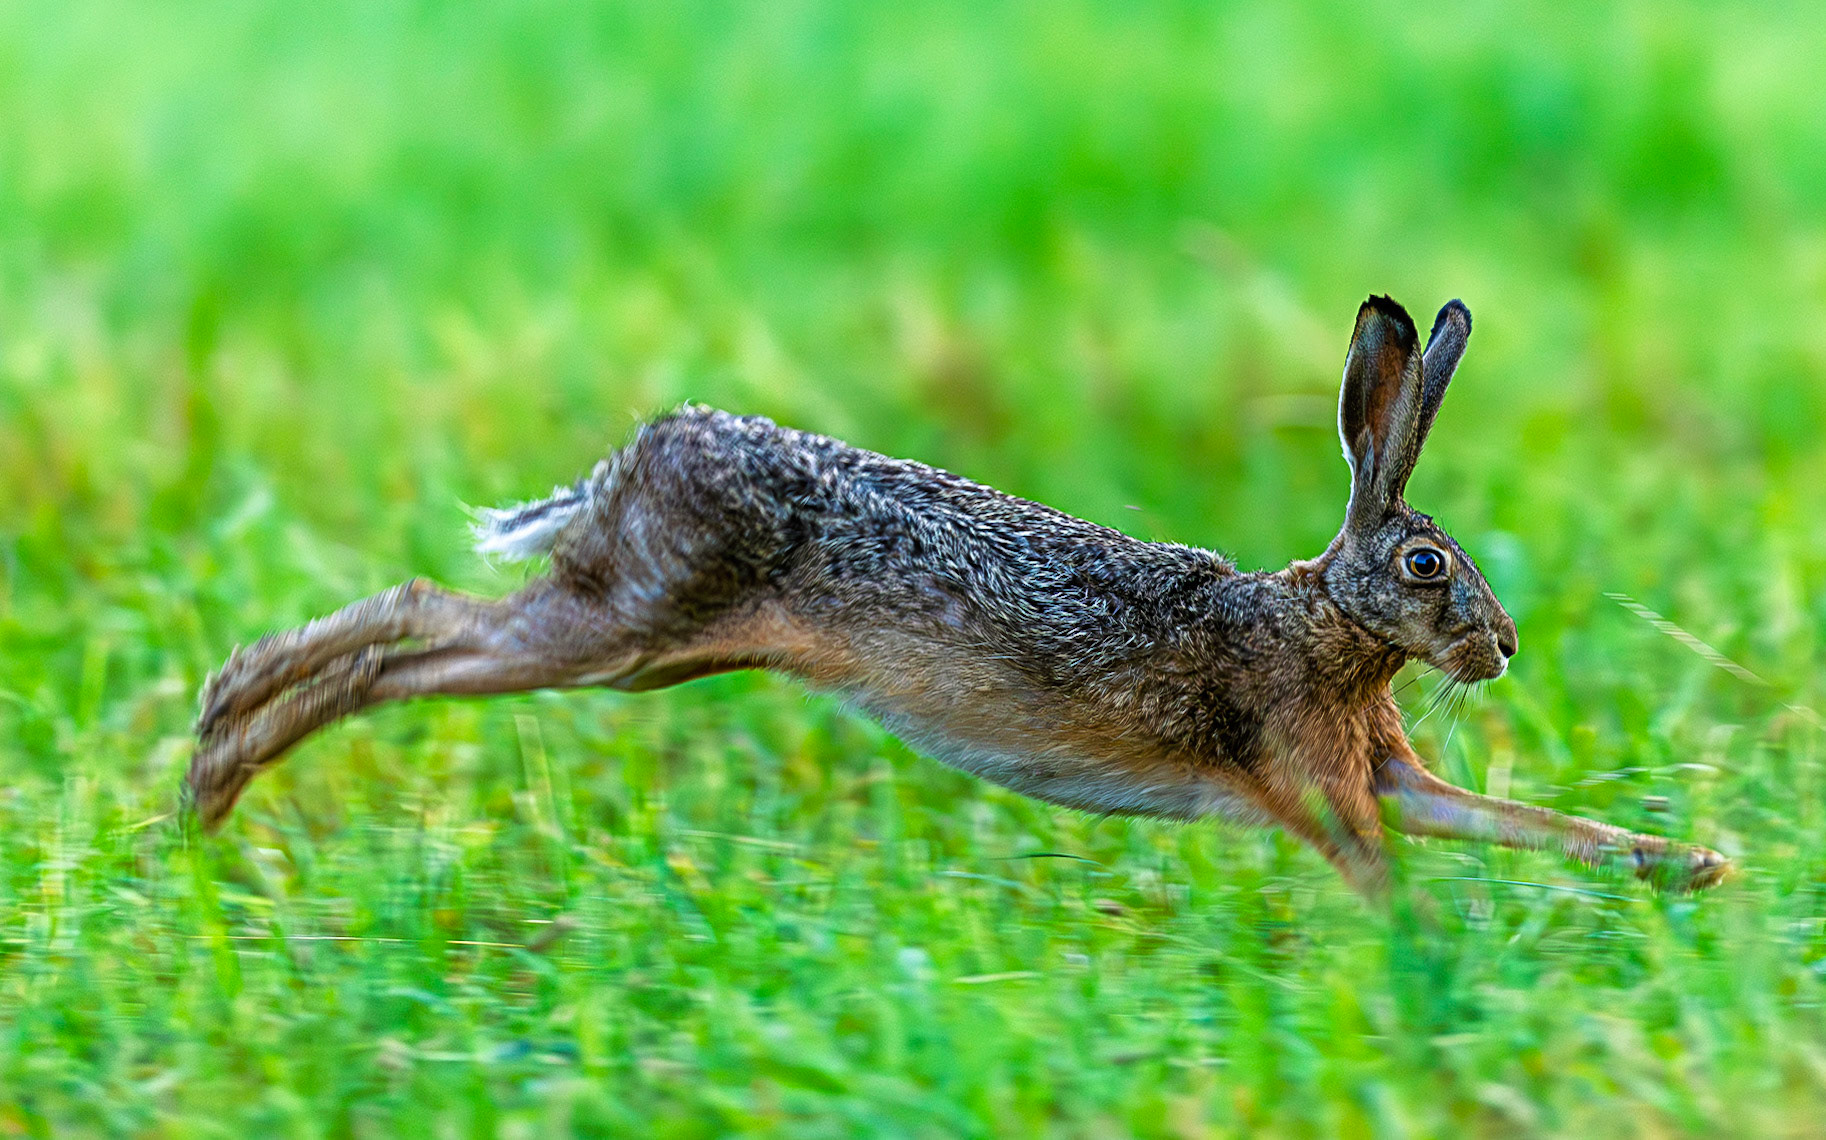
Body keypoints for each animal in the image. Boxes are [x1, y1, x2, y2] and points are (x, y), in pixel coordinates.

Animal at [187, 295, 1729, 896]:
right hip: (625, 625)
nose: (1503, 647)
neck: (1319, 621)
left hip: (640, 641)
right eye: (1425, 567)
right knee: (416, 642)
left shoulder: (1387, 773)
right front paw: (1429, 957)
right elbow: (1380, 870)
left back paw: (215, 751)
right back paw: (220, 754)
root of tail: (639, 455)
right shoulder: (1307, 776)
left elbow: (1530, 823)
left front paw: (1688, 866)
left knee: (420, 613)